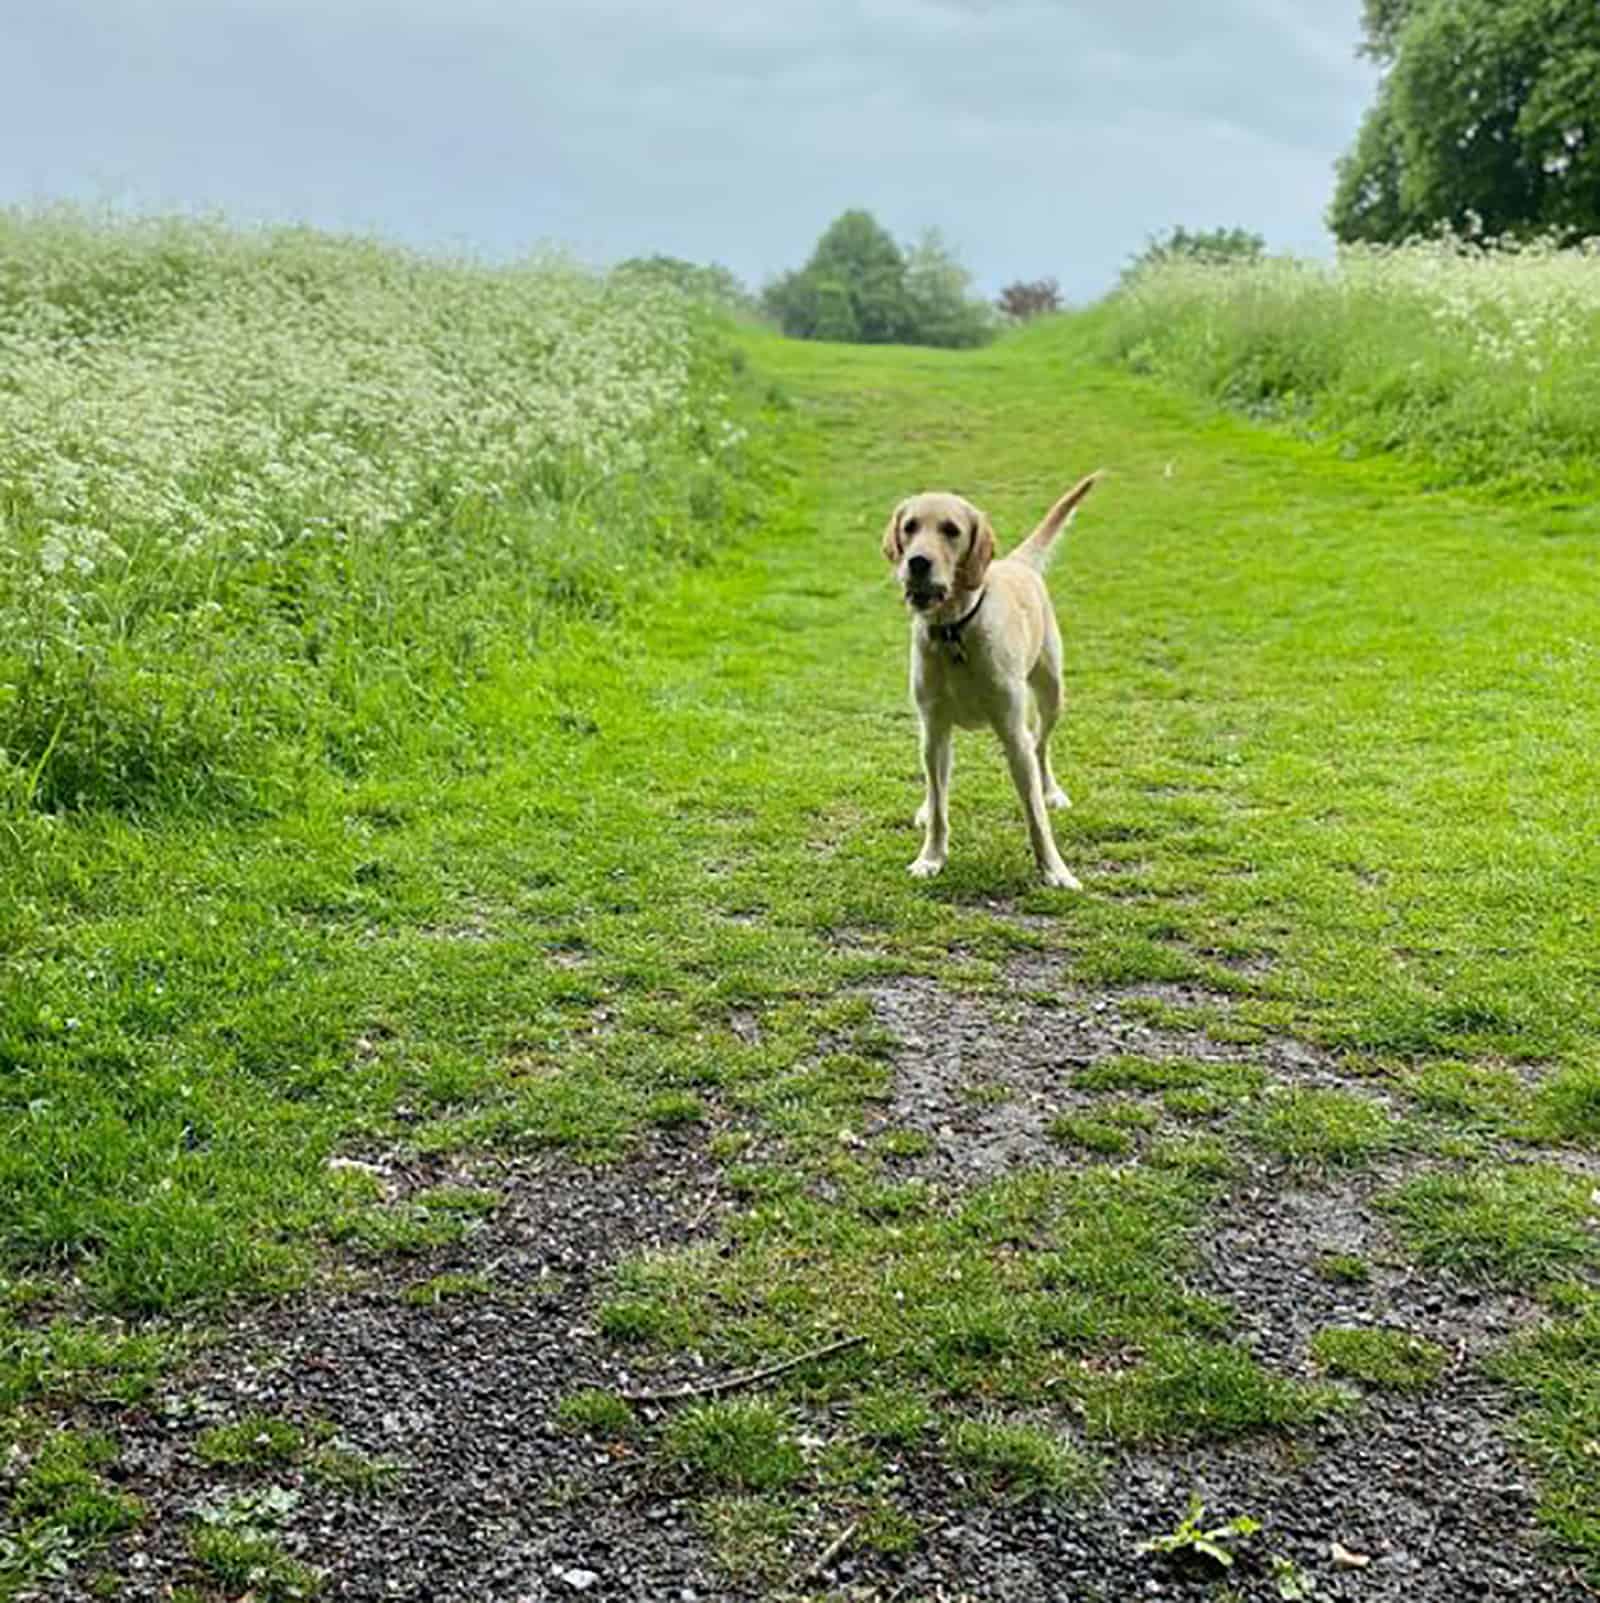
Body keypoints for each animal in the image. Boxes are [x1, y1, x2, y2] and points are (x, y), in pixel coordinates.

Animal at [884, 474, 1109, 891]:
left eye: (951, 530)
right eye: (910, 527)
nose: (917, 562)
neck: (954, 631)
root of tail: (1015, 562)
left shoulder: (1012, 733)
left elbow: (1035, 815)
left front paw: (1056, 870)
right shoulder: (935, 729)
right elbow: (939, 806)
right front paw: (931, 858)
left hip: (1052, 694)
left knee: (1041, 746)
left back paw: (1052, 790)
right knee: (935, 785)